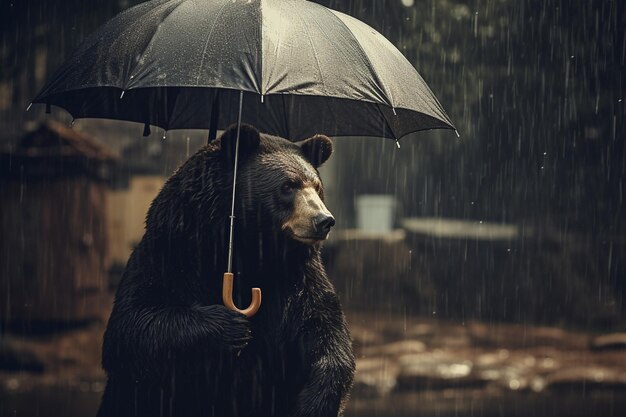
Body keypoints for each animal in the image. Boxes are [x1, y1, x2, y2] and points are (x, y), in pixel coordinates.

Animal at [95, 124, 354, 416]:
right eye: (288, 185)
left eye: (317, 187)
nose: (323, 220)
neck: (249, 248)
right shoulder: (171, 254)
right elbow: (133, 326)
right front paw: (230, 326)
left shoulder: (296, 278)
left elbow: (324, 330)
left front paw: (313, 402)